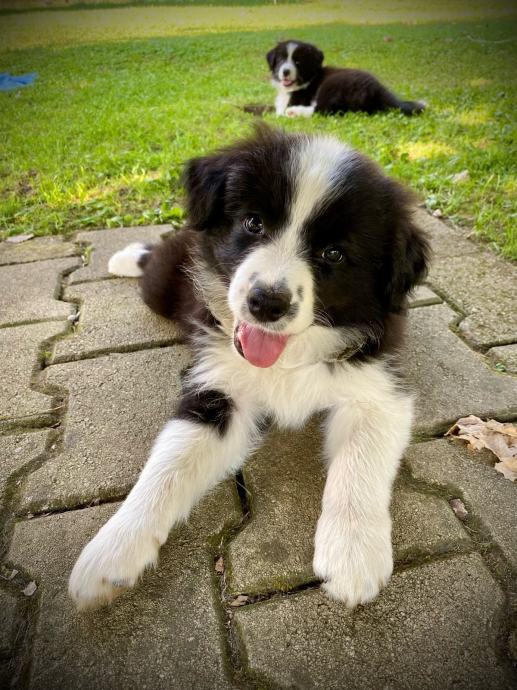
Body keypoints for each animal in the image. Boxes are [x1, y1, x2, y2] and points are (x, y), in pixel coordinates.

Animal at [69, 126, 432, 612]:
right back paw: (128, 255)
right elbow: (167, 467)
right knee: (156, 255)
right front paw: (111, 552)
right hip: (164, 285)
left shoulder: (378, 387)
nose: (266, 303)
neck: (287, 357)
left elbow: (360, 462)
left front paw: (353, 555)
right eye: (254, 223)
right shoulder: (217, 388)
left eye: (334, 254)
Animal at [266, 39, 424, 118]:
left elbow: (276, 112)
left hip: (332, 84)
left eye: (298, 62)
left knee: (323, 110)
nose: (285, 72)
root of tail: (378, 89)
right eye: (281, 60)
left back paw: (295, 112)